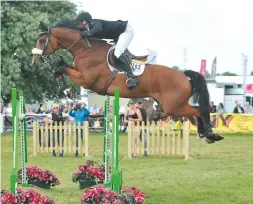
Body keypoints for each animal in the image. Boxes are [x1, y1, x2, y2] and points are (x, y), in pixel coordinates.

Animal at [31, 20, 223, 143]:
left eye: (41, 40)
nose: (34, 60)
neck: (85, 50)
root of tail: (183, 75)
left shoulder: (87, 80)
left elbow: (62, 68)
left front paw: (64, 90)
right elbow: (62, 67)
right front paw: (61, 86)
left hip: (174, 106)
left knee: (199, 111)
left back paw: (210, 134)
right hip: (171, 106)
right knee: (193, 114)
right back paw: (206, 134)